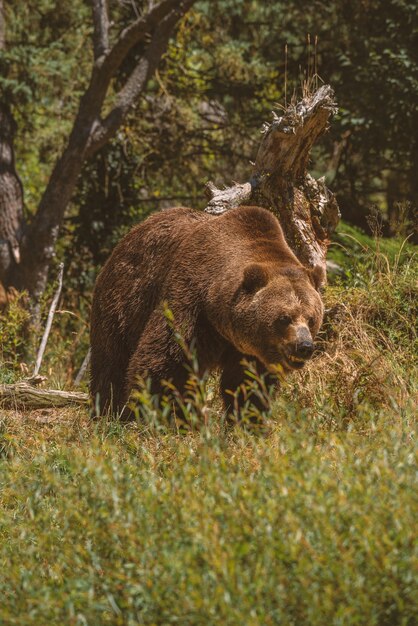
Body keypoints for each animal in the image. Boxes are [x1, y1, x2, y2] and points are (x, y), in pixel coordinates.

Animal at [90, 205, 324, 416]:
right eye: (284, 318)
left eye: (311, 319)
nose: (304, 346)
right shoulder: (191, 305)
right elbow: (168, 363)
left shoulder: (250, 351)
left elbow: (249, 385)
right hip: (123, 302)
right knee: (111, 363)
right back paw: (107, 413)